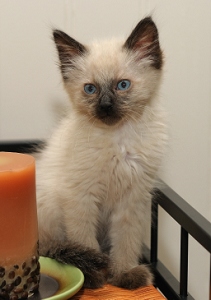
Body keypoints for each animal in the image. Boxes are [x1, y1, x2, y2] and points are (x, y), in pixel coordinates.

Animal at [35, 16, 166, 288]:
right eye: (90, 89)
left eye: (122, 85)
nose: (105, 106)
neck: (118, 140)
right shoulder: (80, 197)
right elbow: (85, 240)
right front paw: (95, 277)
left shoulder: (132, 200)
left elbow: (125, 243)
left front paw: (123, 274)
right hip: (48, 208)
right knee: (54, 247)